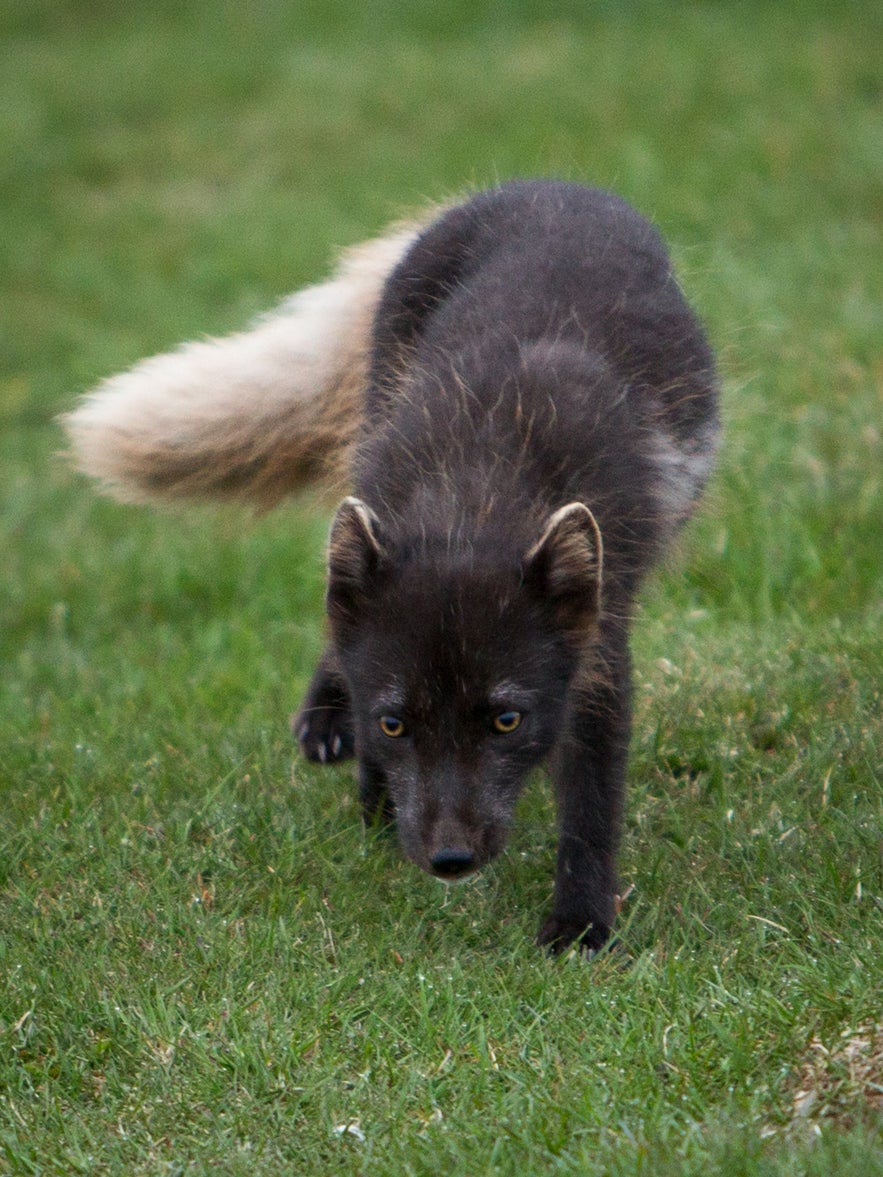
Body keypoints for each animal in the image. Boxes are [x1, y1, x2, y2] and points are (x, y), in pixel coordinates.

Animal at [67, 178, 720, 951]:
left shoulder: (598, 645)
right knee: (336, 616)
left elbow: (591, 801)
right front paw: (373, 806)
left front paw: (581, 922)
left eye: (506, 720)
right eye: (393, 724)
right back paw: (324, 718)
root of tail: (544, 184)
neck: (477, 493)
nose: (448, 860)